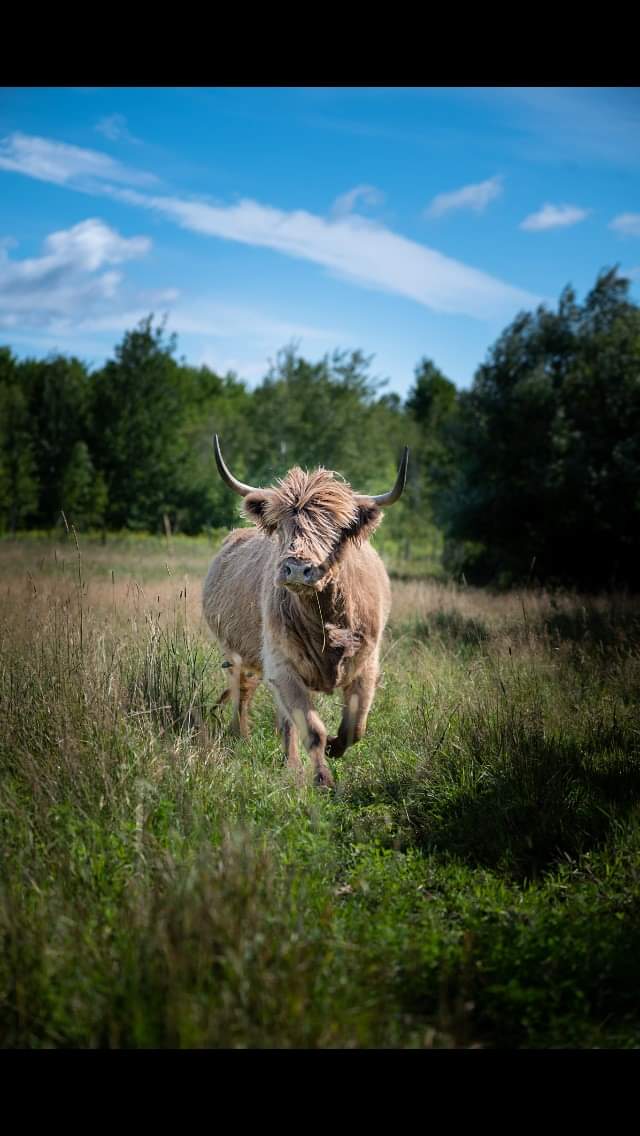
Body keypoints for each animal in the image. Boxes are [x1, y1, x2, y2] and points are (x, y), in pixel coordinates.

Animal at [202, 433, 409, 790]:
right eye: (283, 525)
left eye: (335, 528)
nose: (298, 569)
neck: (324, 620)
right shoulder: (283, 666)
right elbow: (311, 728)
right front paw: (322, 778)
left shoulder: (367, 664)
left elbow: (356, 726)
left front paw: (336, 747)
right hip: (237, 655)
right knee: (246, 698)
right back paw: (264, 749)